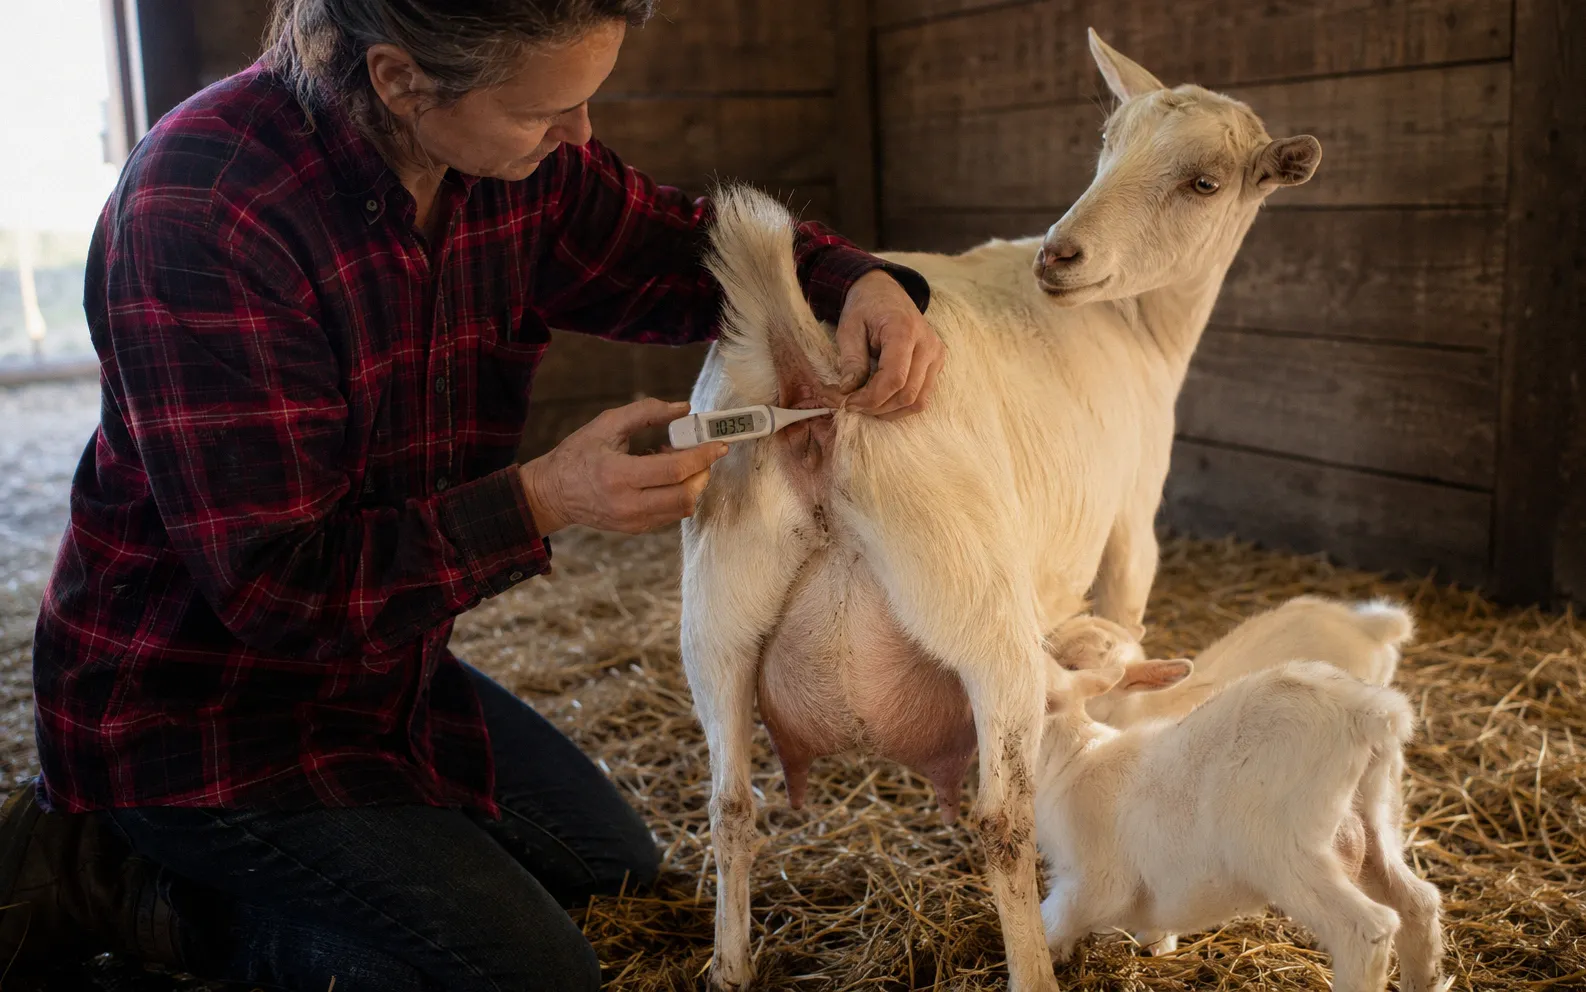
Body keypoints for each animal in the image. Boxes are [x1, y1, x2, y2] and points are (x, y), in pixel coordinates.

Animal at [679, 30, 1322, 990]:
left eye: (1204, 181)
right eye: (1107, 145)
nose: (1061, 256)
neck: (1140, 322)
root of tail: (814, 371)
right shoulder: (1132, 521)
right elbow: (1125, 650)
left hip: (718, 608)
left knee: (729, 804)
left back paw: (730, 965)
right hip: (972, 598)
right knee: (999, 821)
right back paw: (1032, 967)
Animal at [1035, 625, 1444, 992]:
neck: (1072, 759)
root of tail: (1368, 712)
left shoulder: (1094, 879)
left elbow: (1052, 923)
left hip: (1283, 847)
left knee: (1365, 929)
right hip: (1378, 818)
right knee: (1418, 902)